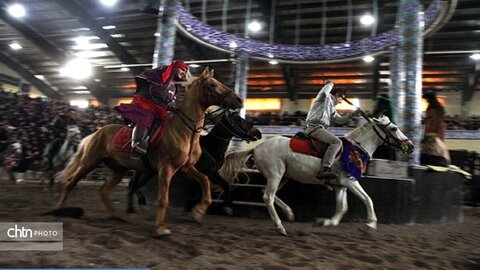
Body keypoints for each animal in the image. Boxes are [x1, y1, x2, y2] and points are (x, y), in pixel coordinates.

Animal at [53, 66, 242, 235]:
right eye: (212, 84)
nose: (239, 100)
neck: (185, 131)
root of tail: (95, 133)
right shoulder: (166, 169)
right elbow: (163, 199)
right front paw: (161, 228)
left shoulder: (186, 169)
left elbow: (205, 182)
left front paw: (199, 212)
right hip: (90, 162)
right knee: (71, 184)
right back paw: (59, 211)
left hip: (119, 169)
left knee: (104, 191)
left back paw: (118, 216)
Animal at [127, 109, 262, 213]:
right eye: (240, 120)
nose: (258, 133)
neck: (210, 146)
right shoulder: (202, 173)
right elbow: (198, 192)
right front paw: (194, 209)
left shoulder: (212, 173)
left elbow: (225, 185)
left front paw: (227, 207)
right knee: (133, 185)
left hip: (148, 171)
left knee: (133, 185)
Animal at [220, 115, 412, 235]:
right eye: (394, 128)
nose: (410, 146)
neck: (356, 148)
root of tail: (257, 147)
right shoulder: (349, 181)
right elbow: (368, 199)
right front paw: (371, 223)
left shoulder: (340, 186)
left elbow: (342, 208)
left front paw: (324, 222)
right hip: (275, 174)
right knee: (268, 197)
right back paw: (280, 227)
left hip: (283, 177)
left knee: (267, 195)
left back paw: (289, 214)